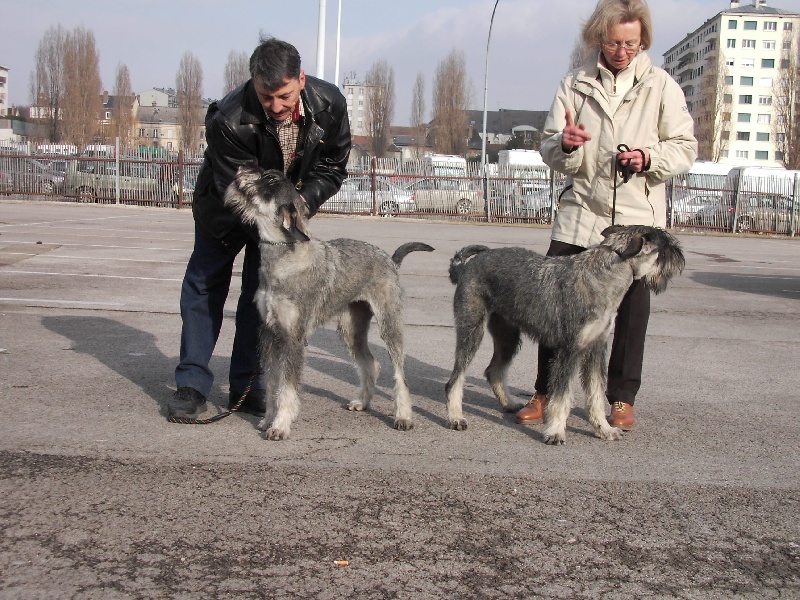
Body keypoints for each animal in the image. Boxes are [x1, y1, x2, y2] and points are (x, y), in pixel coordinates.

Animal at [222, 166, 434, 438]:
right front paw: (269, 418)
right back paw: (362, 401)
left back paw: (404, 416)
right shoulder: (268, 332)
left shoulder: (294, 338)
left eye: (270, 180)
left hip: (389, 326)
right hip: (351, 329)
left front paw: (280, 425)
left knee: (399, 374)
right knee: (371, 364)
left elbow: (287, 387)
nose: (241, 168)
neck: (282, 257)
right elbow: (271, 383)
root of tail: (390, 260)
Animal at [444, 227, 680, 442]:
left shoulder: (595, 349)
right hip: (472, 331)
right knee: (456, 379)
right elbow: (561, 397)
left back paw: (509, 404)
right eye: (667, 246)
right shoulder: (569, 350)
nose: (679, 258)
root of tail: (465, 267)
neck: (603, 276)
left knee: (494, 370)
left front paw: (604, 429)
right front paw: (555, 431)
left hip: (507, 336)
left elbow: (596, 393)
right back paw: (456, 418)